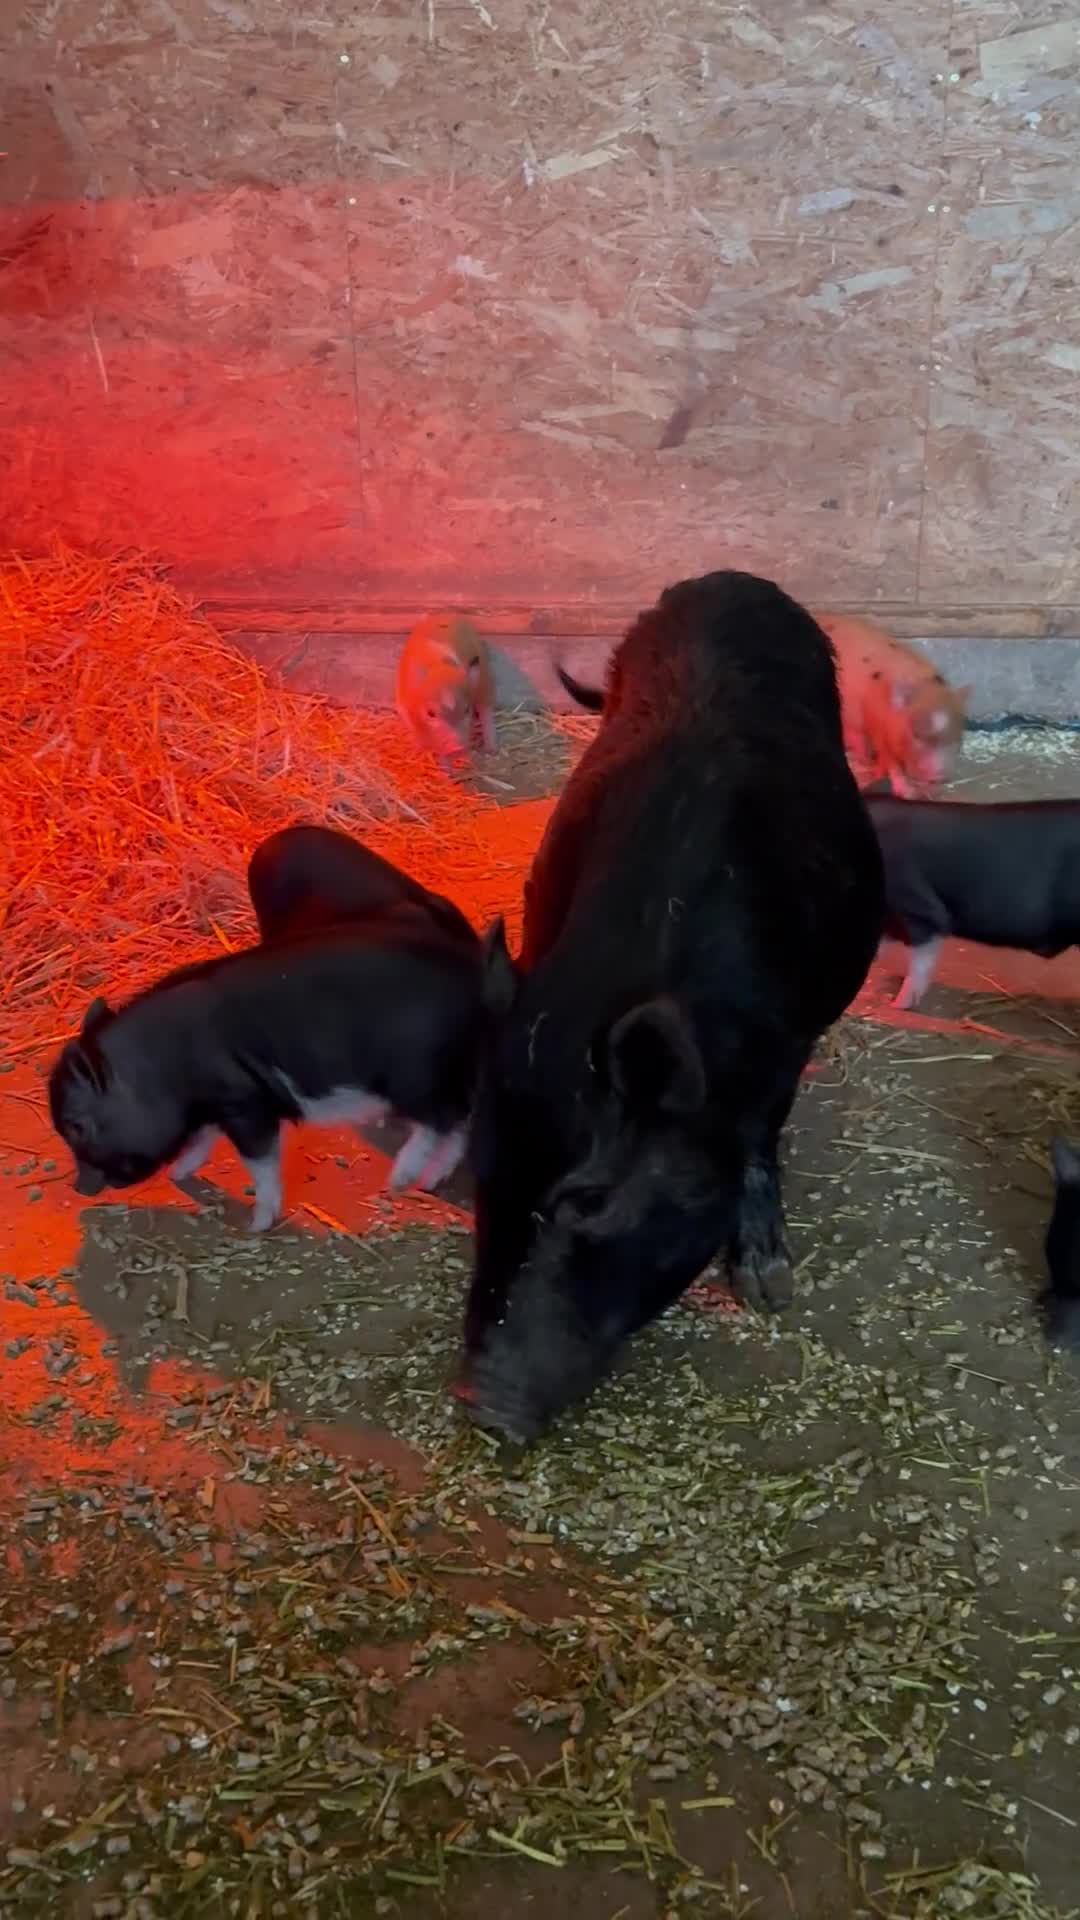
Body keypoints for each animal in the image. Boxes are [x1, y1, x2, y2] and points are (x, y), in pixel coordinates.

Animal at [48, 921, 484, 1229]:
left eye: (77, 1125)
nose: (79, 1188)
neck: (161, 1069)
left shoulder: (245, 1103)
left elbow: (260, 1161)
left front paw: (256, 1226)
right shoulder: (213, 1109)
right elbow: (201, 1142)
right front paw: (179, 1173)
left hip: (416, 1074)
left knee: (440, 1120)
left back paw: (399, 1181)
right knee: (458, 1125)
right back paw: (428, 1182)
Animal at [396, 612, 496, 765]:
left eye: (467, 710)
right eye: (431, 713)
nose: (456, 749)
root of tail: (445, 613)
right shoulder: (402, 705)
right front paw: (420, 753)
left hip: (484, 678)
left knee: (486, 711)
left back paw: (491, 750)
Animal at [456, 570, 885, 1444]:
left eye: (587, 1200)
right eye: (483, 1174)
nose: (477, 1404)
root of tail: (724, 578)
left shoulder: (790, 1038)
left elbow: (762, 1136)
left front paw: (768, 1287)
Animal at [816, 614, 971, 796]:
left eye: (958, 736)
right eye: (915, 734)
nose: (938, 776)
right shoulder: (878, 729)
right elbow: (891, 762)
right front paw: (906, 791)